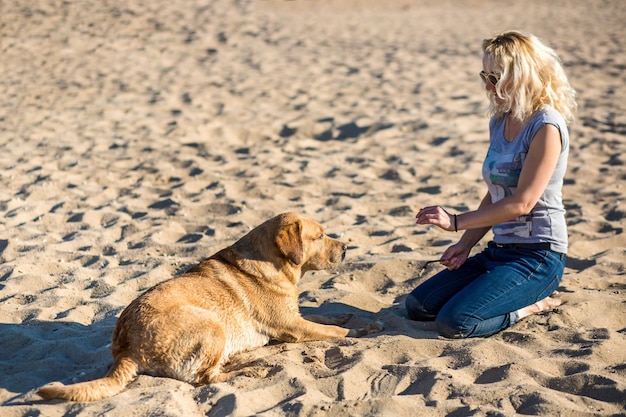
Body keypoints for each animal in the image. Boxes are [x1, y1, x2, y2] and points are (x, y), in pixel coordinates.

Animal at [39, 211, 382, 400]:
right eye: (320, 236)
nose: (347, 248)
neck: (273, 262)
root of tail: (125, 349)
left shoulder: (297, 317)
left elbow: (330, 317)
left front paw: (359, 320)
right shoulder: (292, 326)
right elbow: (333, 330)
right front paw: (360, 331)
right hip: (211, 323)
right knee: (205, 378)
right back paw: (251, 369)